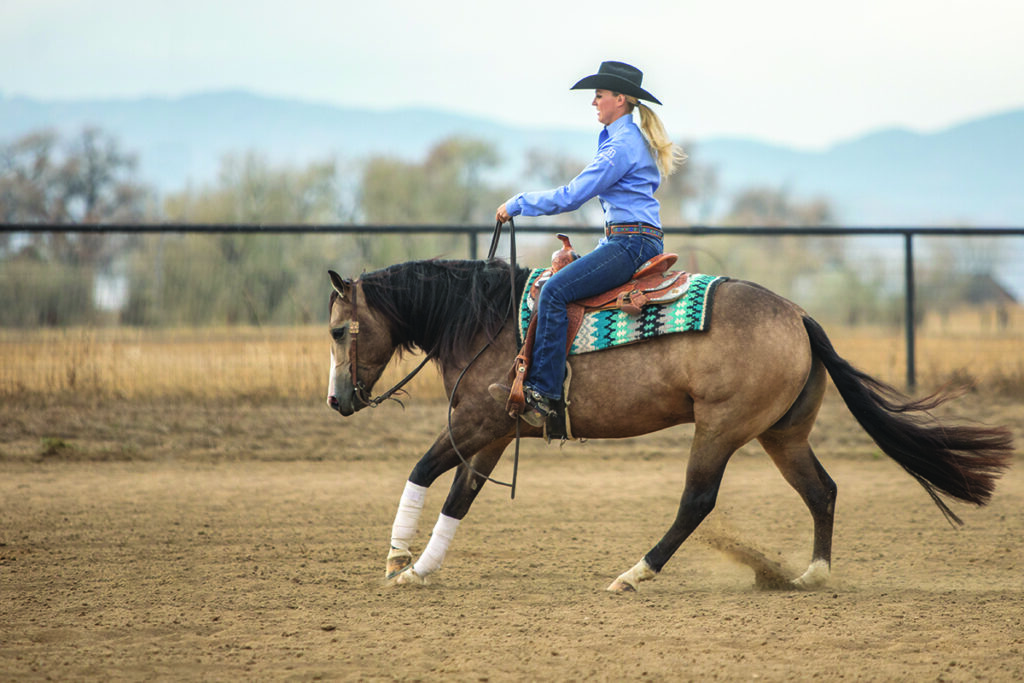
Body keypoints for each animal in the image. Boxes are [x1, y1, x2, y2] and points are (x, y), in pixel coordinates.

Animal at [325, 258, 1007, 593]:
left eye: (337, 330)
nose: (336, 401)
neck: (486, 319)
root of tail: (799, 315)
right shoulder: (494, 433)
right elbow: (459, 499)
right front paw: (419, 568)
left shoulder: (477, 421)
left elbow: (421, 471)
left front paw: (396, 560)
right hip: (782, 435)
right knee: (823, 491)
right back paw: (812, 574)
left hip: (720, 430)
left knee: (697, 502)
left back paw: (635, 574)